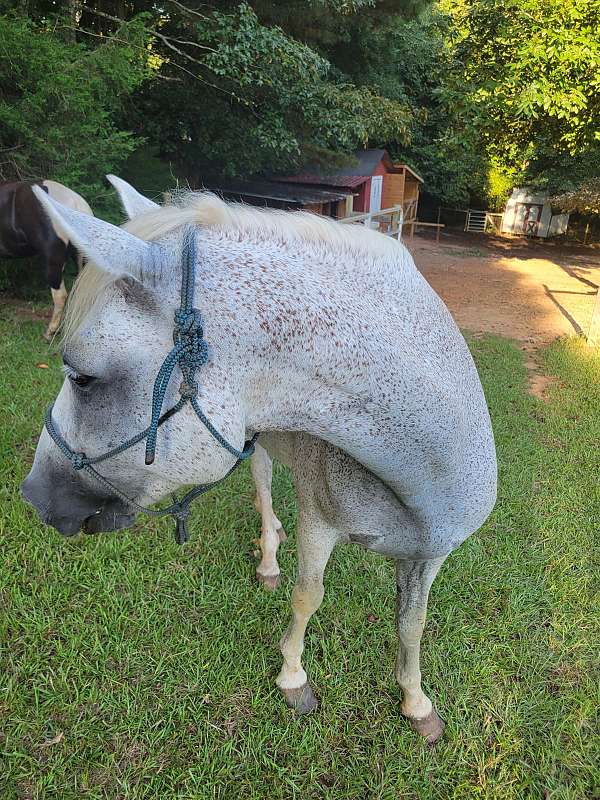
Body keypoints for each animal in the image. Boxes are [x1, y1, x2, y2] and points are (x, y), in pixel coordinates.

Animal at [21, 178, 497, 743]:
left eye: (83, 377)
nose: (33, 494)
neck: (422, 471)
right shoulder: (318, 523)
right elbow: (307, 595)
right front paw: (293, 677)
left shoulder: (431, 554)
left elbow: (412, 624)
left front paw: (416, 702)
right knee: (263, 487)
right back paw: (269, 556)